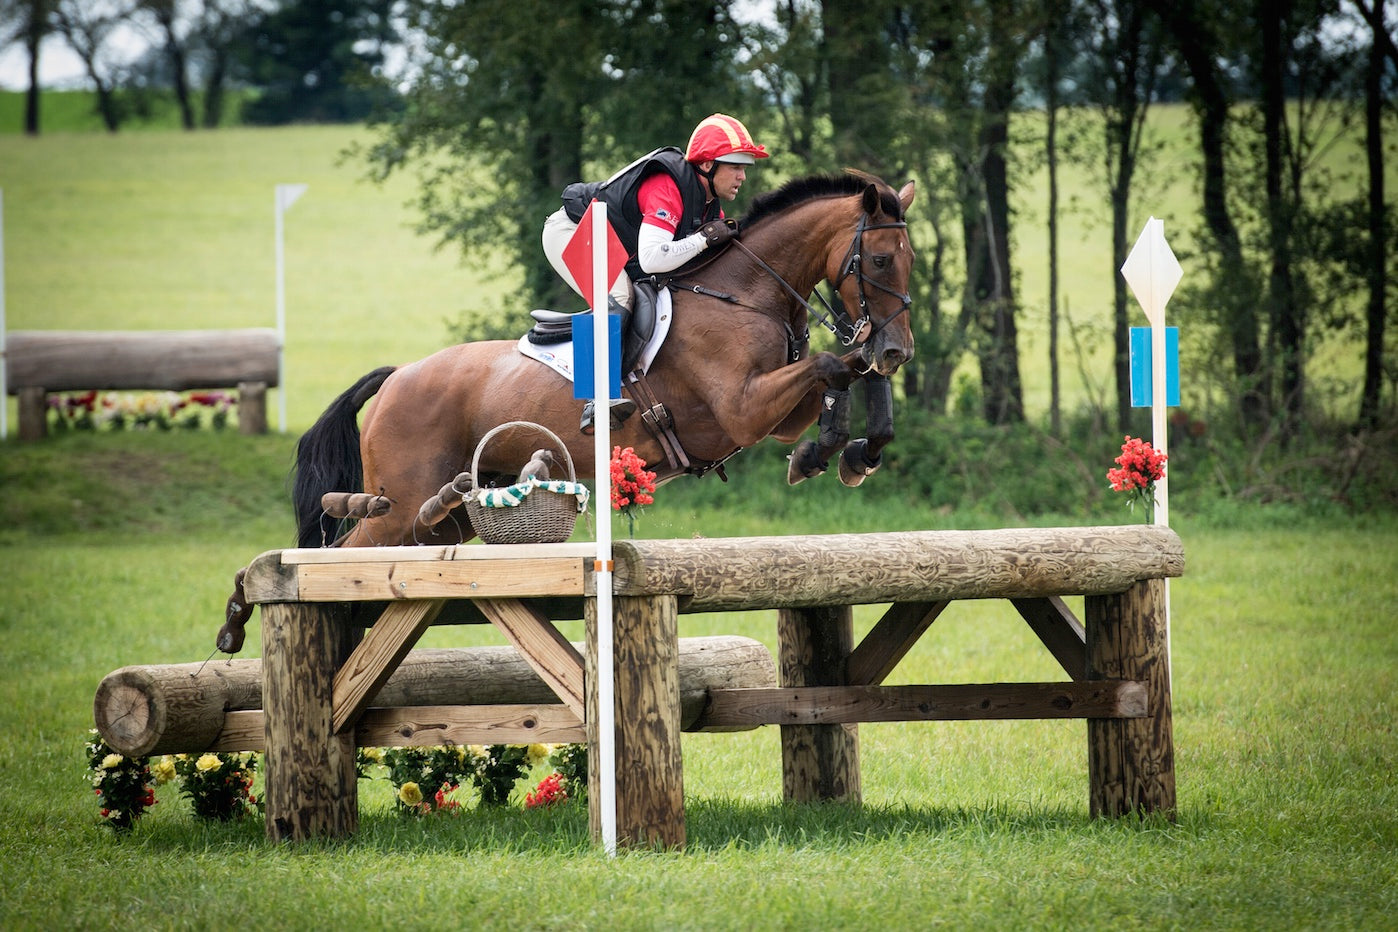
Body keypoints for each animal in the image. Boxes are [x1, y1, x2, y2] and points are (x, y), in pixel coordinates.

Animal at [292, 171, 917, 550]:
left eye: (909, 260)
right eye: (879, 260)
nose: (897, 350)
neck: (742, 294)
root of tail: (397, 377)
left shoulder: (775, 414)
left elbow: (843, 373)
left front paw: (848, 453)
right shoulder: (743, 408)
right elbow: (832, 366)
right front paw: (831, 451)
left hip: (451, 510)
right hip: (399, 506)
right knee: (343, 553)